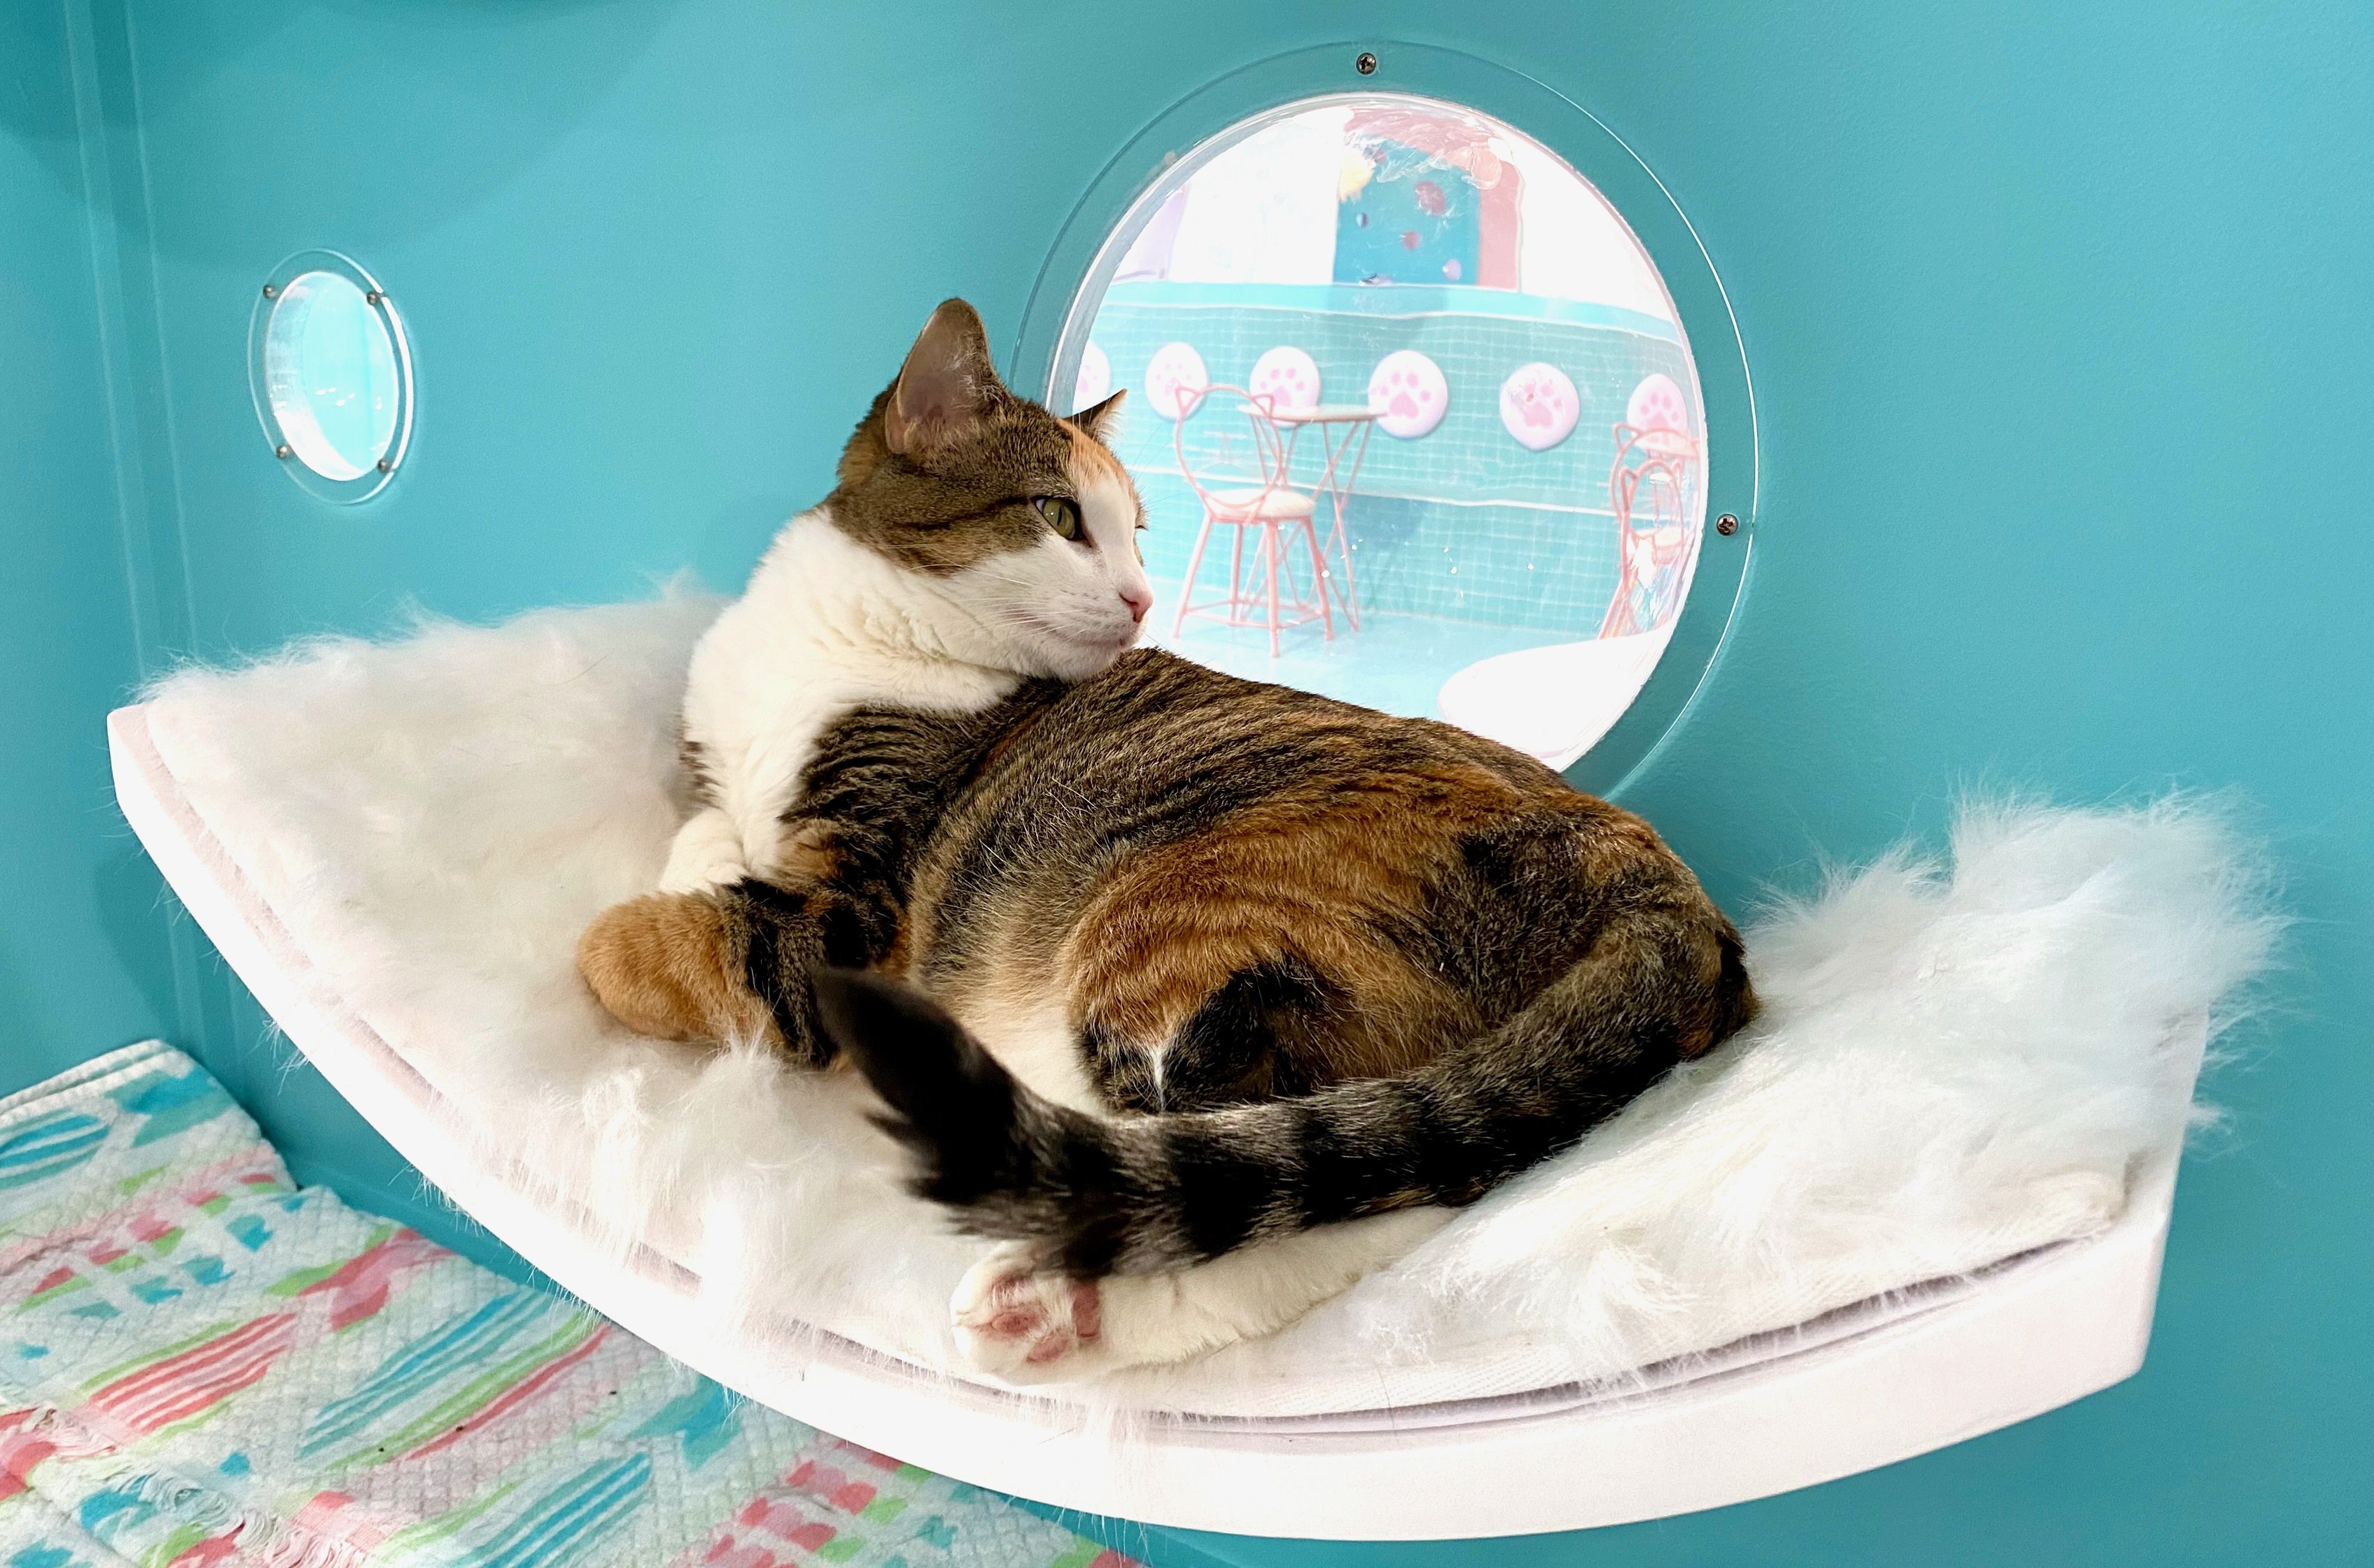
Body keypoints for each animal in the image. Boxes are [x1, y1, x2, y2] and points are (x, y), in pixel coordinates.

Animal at [581, 300, 1756, 1378]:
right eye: (1060, 514)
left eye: (1133, 530)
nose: (1142, 597)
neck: (830, 642)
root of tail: (1661, 881)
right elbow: (707, 831)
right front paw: (706, 857)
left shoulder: (855, 919)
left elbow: (656, 946)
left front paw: (625, 940)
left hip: (1171, 934)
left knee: (1293, 1171)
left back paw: (1061, 1297)